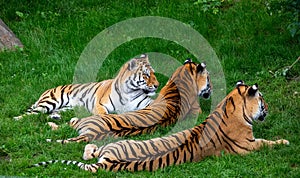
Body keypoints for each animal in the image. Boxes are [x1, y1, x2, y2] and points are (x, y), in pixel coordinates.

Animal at [14, 54, 159, 120]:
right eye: (146, 75)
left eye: (153, 73)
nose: (157, 85)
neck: (130, 92)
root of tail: (46, 91)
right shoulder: (100, 105)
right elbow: (104, 114)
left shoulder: (146, 102)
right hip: (50, 102)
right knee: (32, 113)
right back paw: (16, 119)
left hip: (66, 108)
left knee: (52, 112)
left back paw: (55, 117)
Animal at [31, 80, 290, 172]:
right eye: (263, 99)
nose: (268, 108)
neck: (231, 106)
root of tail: (107, 162)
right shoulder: (250, 146)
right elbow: (269, 143)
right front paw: (286, 141)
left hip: (108, 145)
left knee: (89, 149)